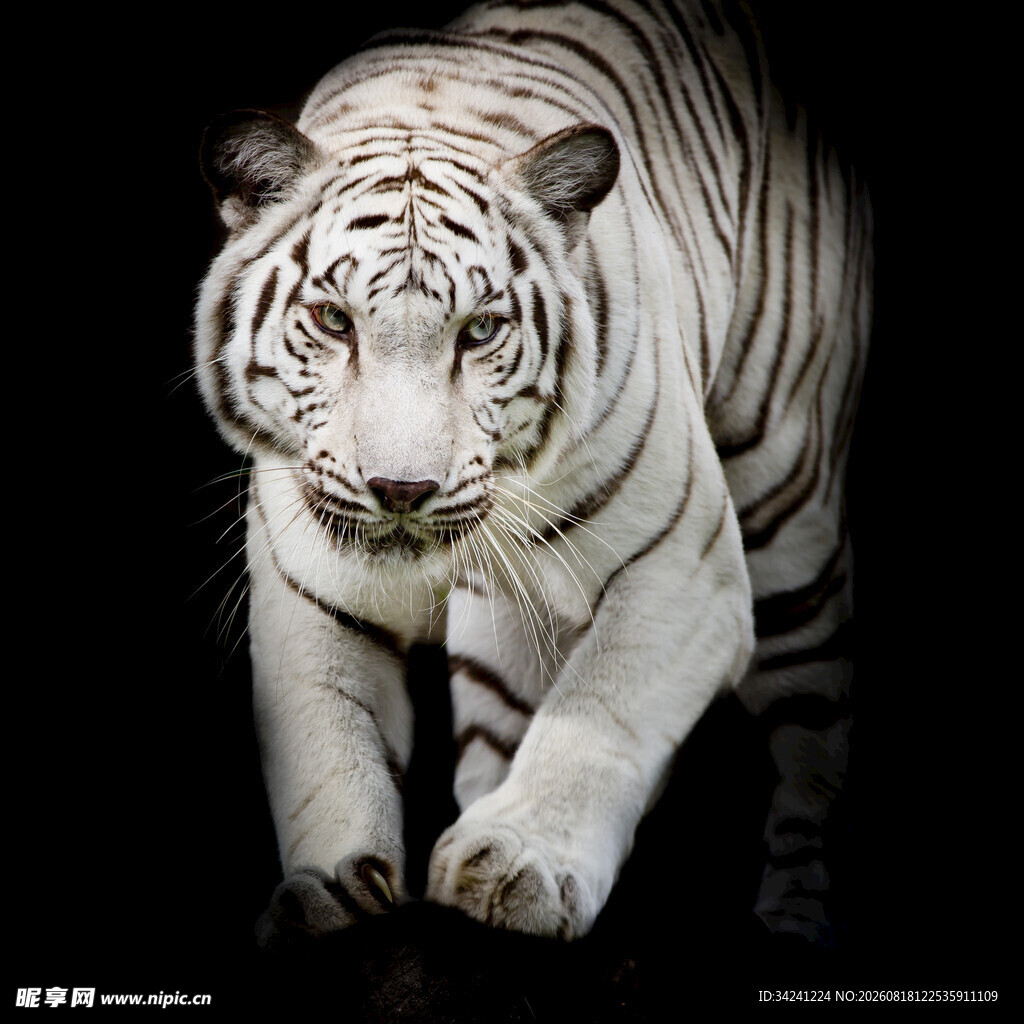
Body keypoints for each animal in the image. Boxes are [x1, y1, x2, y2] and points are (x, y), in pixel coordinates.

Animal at [194, 0, 871, 948]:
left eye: (479, 331)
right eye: (332, 320)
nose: (401, 490)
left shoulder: (685, 566)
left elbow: (599, 710)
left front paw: (520, 867)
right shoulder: (311, 583)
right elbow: (328, 742)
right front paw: (329, 892)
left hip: (789, 513)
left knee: (812, 749)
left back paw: (793, 922)